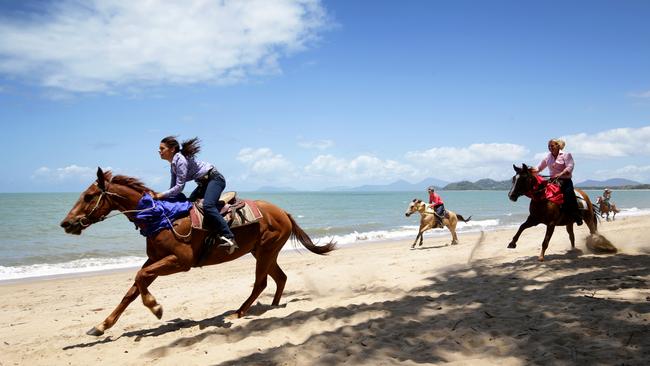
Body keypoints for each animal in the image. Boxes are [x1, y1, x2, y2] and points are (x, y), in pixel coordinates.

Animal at [59, 167, 334, 336]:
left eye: (89, 196)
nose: (66, 223)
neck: (161, 216)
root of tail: (283, 212)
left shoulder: (180, 261)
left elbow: (140, 279)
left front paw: (156, 307)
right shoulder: (155, 260)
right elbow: (133, 289)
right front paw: (101, 326)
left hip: (266, 251)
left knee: (261, 282)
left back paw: (240, 311)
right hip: (263, 252)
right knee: (280, 278)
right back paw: (273, 307)